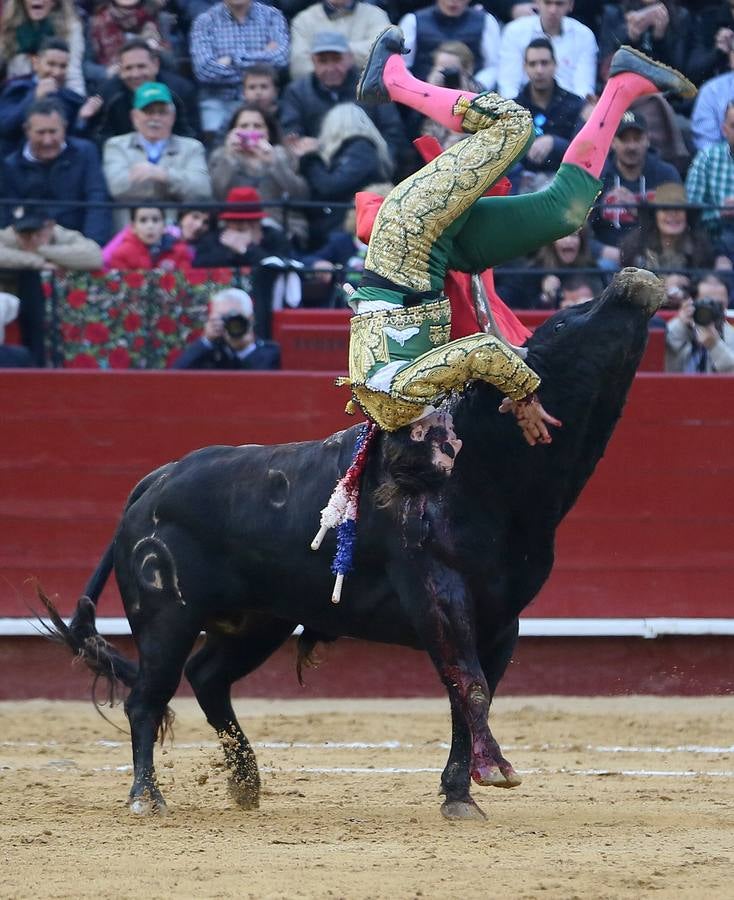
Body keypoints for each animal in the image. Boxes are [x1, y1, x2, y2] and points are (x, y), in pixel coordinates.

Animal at [40, 268, 664, 824]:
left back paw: (246, 783)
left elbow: (467, 697)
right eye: (562, 323)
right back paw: (148, 797)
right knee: (148, 697)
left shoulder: (501, 618)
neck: (485, 469)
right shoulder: (438, 591)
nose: (633, 281)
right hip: (166, 617)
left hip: (261, 618)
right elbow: (469, 684)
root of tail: (157, 479)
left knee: (208, 677)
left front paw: (460, 792)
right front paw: (493, 773)